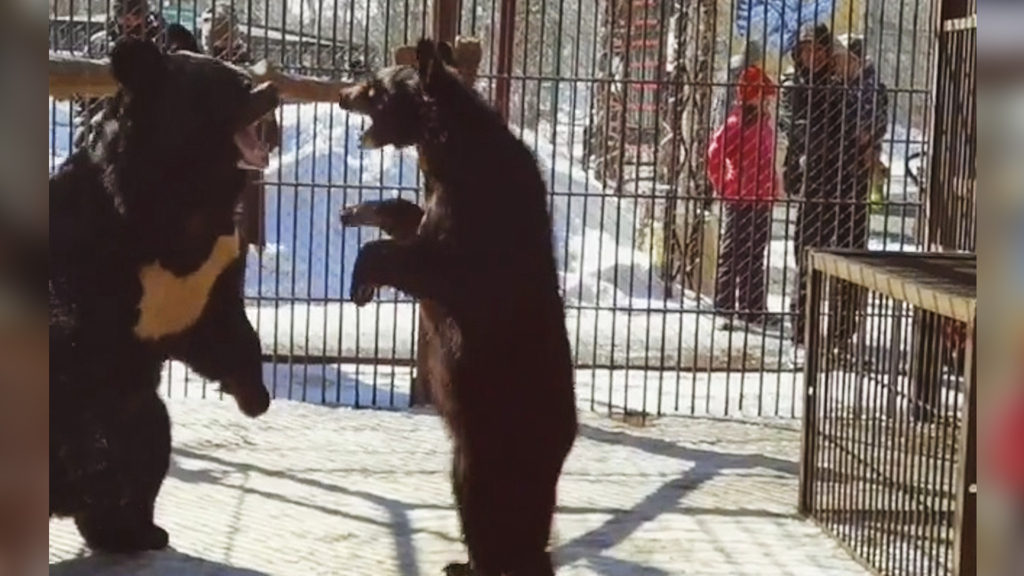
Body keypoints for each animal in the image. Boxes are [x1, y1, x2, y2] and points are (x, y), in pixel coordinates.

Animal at [49, 34, 277, 553]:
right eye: (231, 88)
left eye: (244, 77)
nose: (271, 89)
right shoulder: (86, 243)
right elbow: (72, 333)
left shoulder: (209, 272)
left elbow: (224, 331)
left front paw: (254, 395)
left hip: (140, 411)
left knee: (149, 450)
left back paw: (133, 529)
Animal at [338, 39, 578, 576]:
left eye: (375, 87)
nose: (342, 94)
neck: (449, 148)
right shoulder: (438, 203)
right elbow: (409, 219)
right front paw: (356, 210)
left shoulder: (475, 224)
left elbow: (428, 264)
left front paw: (361, 280)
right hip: (470, 449)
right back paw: (463, 563)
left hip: (501, 443)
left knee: (500, 517)